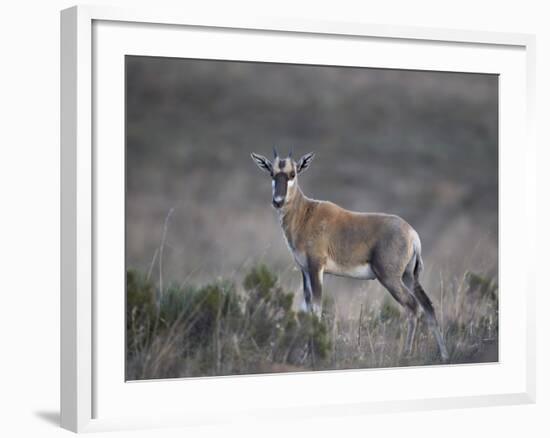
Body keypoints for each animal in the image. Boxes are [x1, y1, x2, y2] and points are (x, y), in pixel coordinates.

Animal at [252, 149, 450, 362]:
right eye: (272, 173)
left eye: (292, 173)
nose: (277, 201)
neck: (307, 213)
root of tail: (413, 235)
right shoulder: (304, 270)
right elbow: (307, 308)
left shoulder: (316, 268)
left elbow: (317, 309)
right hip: (410, 277)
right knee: (428, 306)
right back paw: (444, 355)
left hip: (390, 278)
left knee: (413, 306)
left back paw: (407, 354)